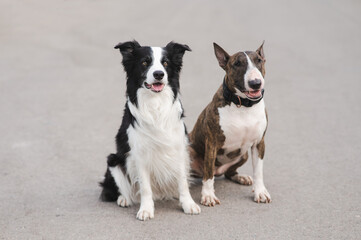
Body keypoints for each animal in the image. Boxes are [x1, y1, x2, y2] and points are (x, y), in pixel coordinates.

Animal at [99, 40, 200, 220]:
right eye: (145, 62)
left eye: (165, 63)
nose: (159, 74)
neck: (155, 103)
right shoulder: (139, 154)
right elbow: (145, 187)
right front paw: (146, 209)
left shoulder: (179, 149)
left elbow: (182, 182)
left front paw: (188, 204)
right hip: (114, 160)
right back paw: (124, 199)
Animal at [188, 41, 270, 206]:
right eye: (237, 64)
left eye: (259, 60)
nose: (255, 83)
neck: (243, 105)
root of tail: (218, 170)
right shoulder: (212, 143)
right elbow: (208, 173)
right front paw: (208, 196)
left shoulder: (259, 143)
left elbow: (258, 171)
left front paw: (260, 192)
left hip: (243, 155)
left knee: (228, 173)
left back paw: (241, 177)